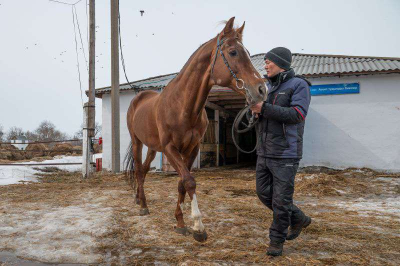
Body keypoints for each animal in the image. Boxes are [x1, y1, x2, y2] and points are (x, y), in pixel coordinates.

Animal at [125, 16, 268, 241]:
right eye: (233, 52)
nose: (262, 90)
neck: (183, 105)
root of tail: (138, 98)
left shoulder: (192, 148)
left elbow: (182, 183)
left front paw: (180, 220)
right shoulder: (170, 149)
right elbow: (189, 181)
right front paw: (198, 225)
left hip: (153, 147)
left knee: (145, 169)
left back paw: (140, 199)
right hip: (137, 142)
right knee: (139, 171)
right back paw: (143, 206)